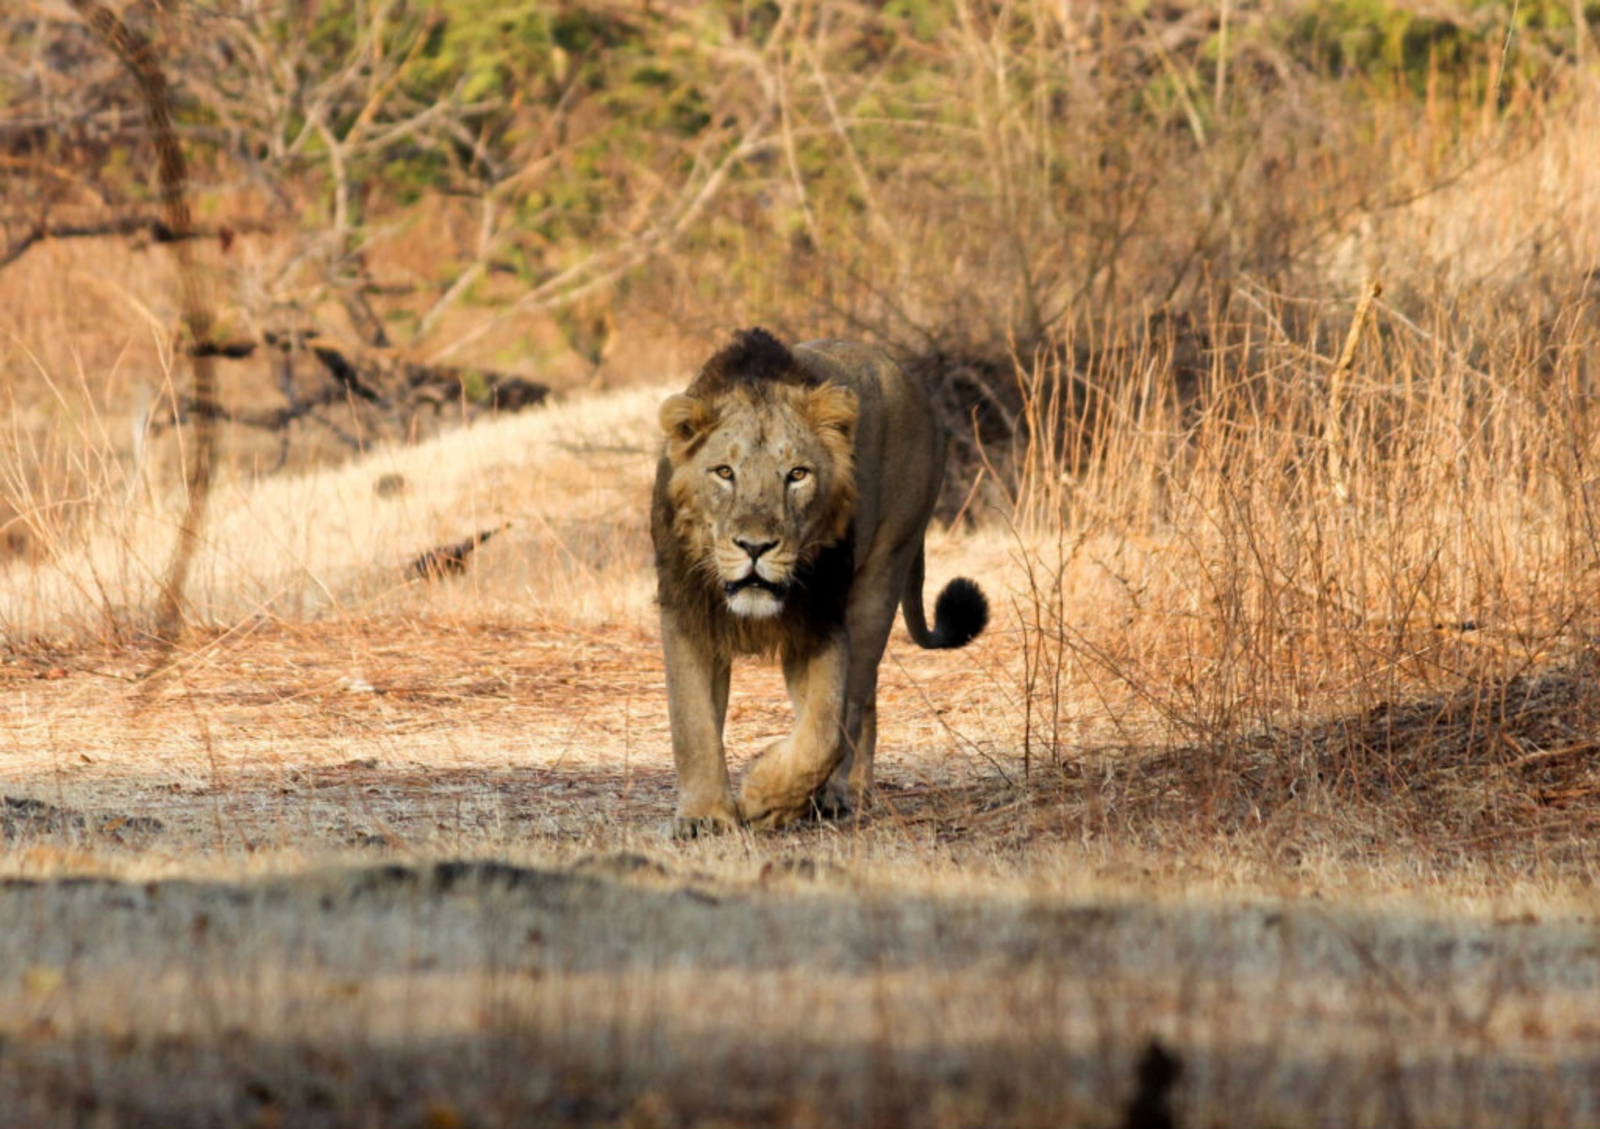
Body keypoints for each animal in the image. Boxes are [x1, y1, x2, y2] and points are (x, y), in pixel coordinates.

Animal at [651, 328, 988, 834]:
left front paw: (765, 797)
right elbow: (691, 723)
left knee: (859, 699)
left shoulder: (822, 618)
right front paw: (704, 815)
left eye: (797, 475)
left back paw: (841, 793)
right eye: (724, 472)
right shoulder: (686, 611)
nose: (754, 547)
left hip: (882, 577)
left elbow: (826, 730)